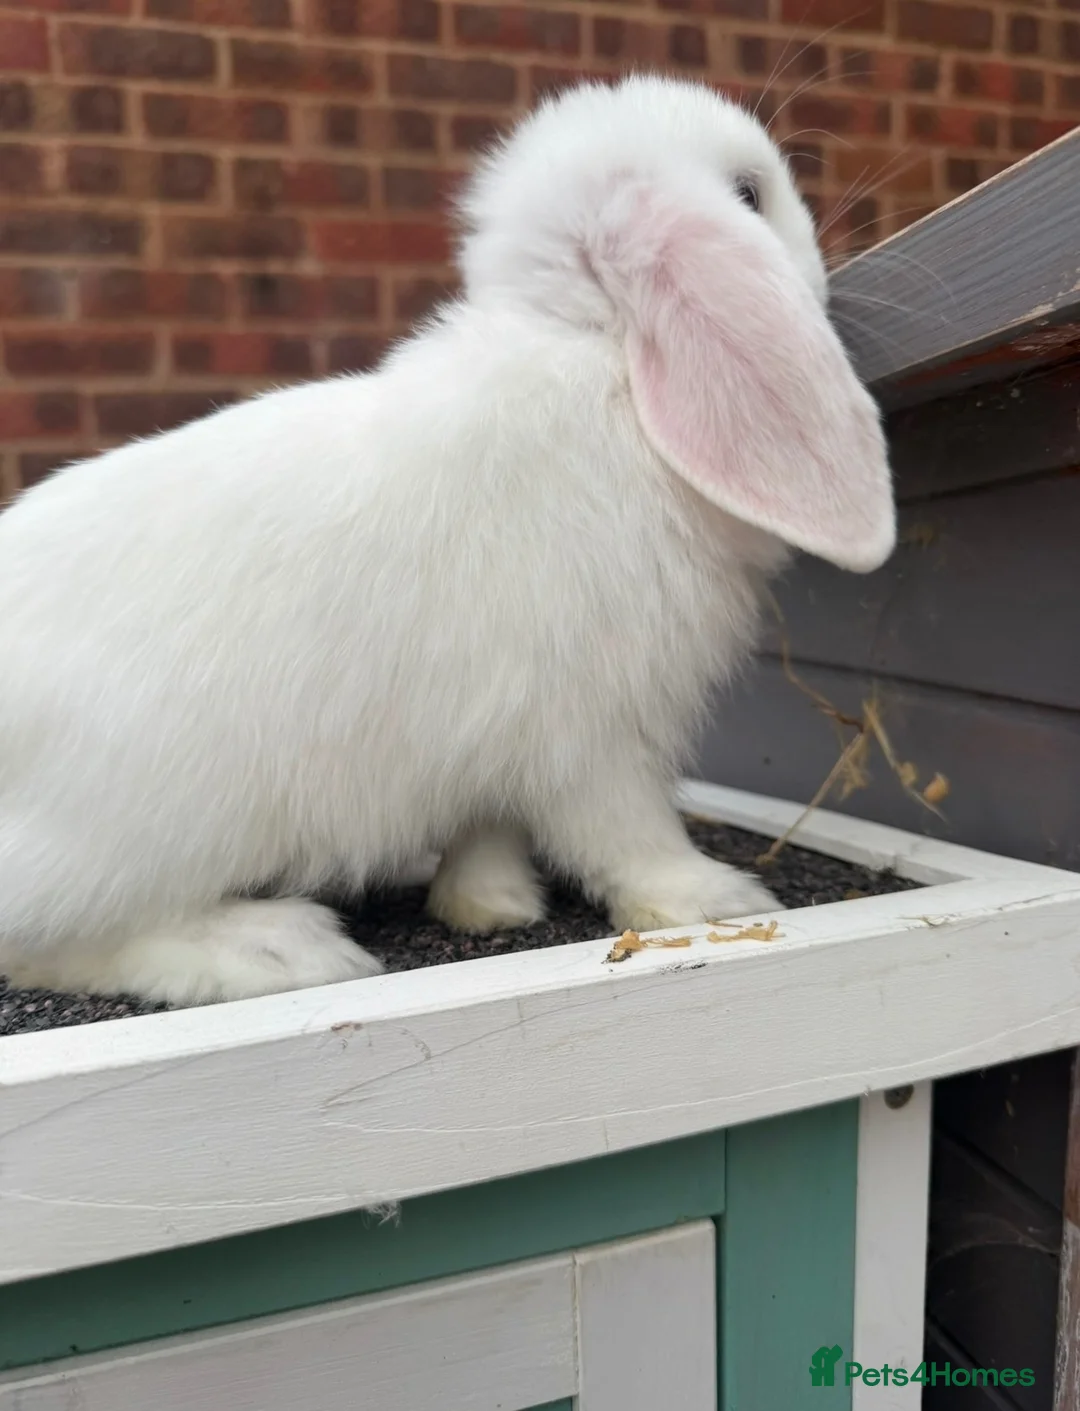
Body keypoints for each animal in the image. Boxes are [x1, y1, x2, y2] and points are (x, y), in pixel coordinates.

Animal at [0, 74, 895, 1006]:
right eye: (750, 195)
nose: (822, 266)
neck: (597, 359)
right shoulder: (595, 730)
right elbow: (627, 828)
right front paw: (714, 896)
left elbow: (488, 827)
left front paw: (488, 902)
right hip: (149, 827)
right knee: (50, 938)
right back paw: (280, 949)